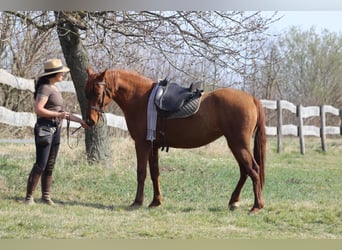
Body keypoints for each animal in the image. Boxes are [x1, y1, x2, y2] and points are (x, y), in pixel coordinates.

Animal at [84, 67, 266, 214]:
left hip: (238, 144)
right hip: (236, 145)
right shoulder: (153, 146)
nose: (90, 121)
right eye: (86, 93)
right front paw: (155, 202)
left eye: (97, 93)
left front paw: (137, 202)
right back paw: (234, 201)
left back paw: (256, 206)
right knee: (245, 171)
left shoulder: (142, 144)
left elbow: (141, 173)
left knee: (253, 170)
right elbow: (155, 173)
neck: (141, 98)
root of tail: (252, 99)